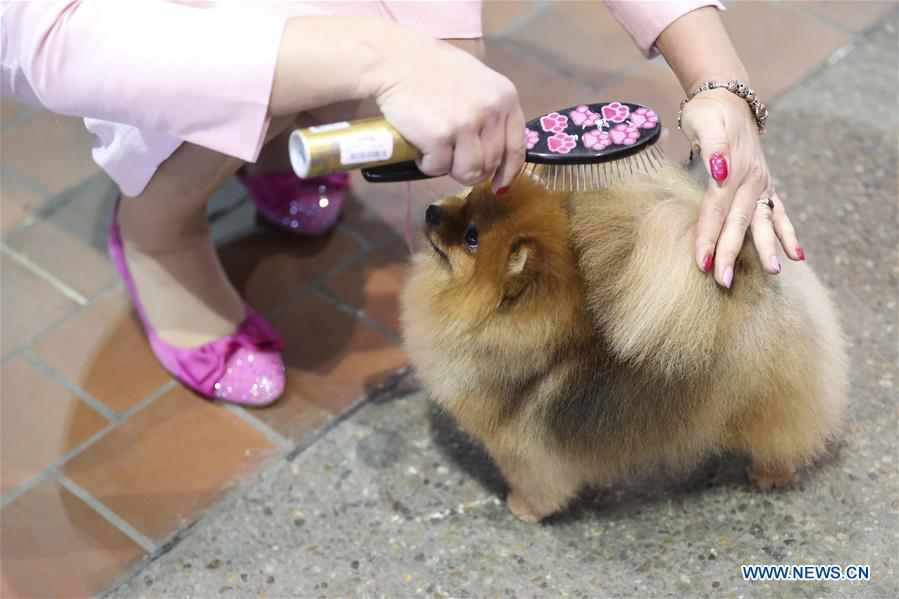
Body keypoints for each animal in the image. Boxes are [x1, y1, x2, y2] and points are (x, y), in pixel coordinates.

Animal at [404, 165, 848, 524]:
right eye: (467, 195)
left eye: (472, 237)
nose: (430, 211)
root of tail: (749, 275)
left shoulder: (523, 450)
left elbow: (538, 486)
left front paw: (524, 509)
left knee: (781, 440)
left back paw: (768, 475)